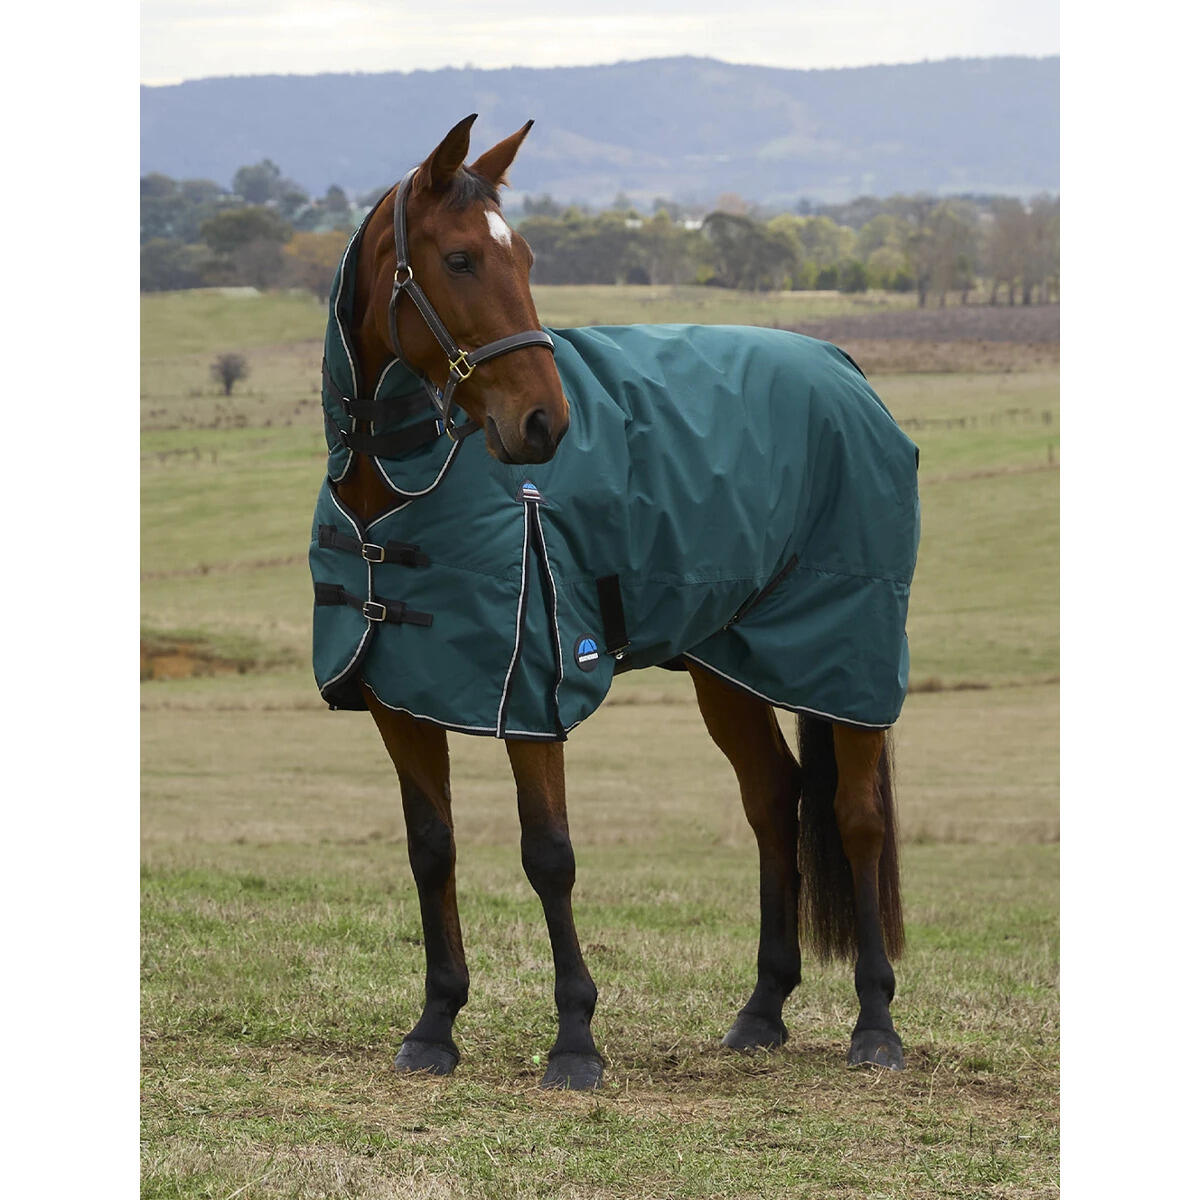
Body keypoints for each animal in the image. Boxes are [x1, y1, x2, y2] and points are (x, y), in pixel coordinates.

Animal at [314, 115, 915, 1090]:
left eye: (525, 256)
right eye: (459, 259)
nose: (545, 425)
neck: (400, 486)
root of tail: (845, 369)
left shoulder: (532, 692)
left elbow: (548, 856)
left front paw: (574, 1041)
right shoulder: (400, 697)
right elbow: (430, 849)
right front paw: (435, 1025)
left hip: (846, 658)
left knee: (856, 820)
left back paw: (875, 1025)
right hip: (729, 666)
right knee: (773, 801)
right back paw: (761, 1010)